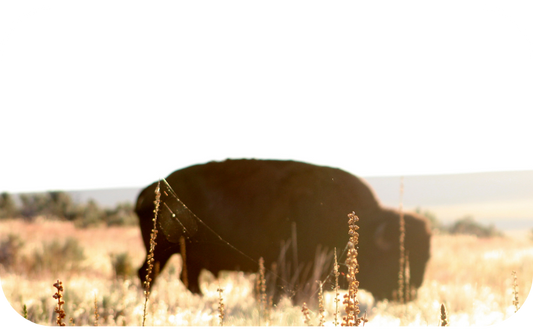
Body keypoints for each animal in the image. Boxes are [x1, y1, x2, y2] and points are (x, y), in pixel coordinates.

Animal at [135, 160, 430, 302]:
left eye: (424, 260)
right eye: (395, 259)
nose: (407, 295)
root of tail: (148, 191)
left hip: (183, 256)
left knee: (185, 279)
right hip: (162, 251)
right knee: (149, 274)